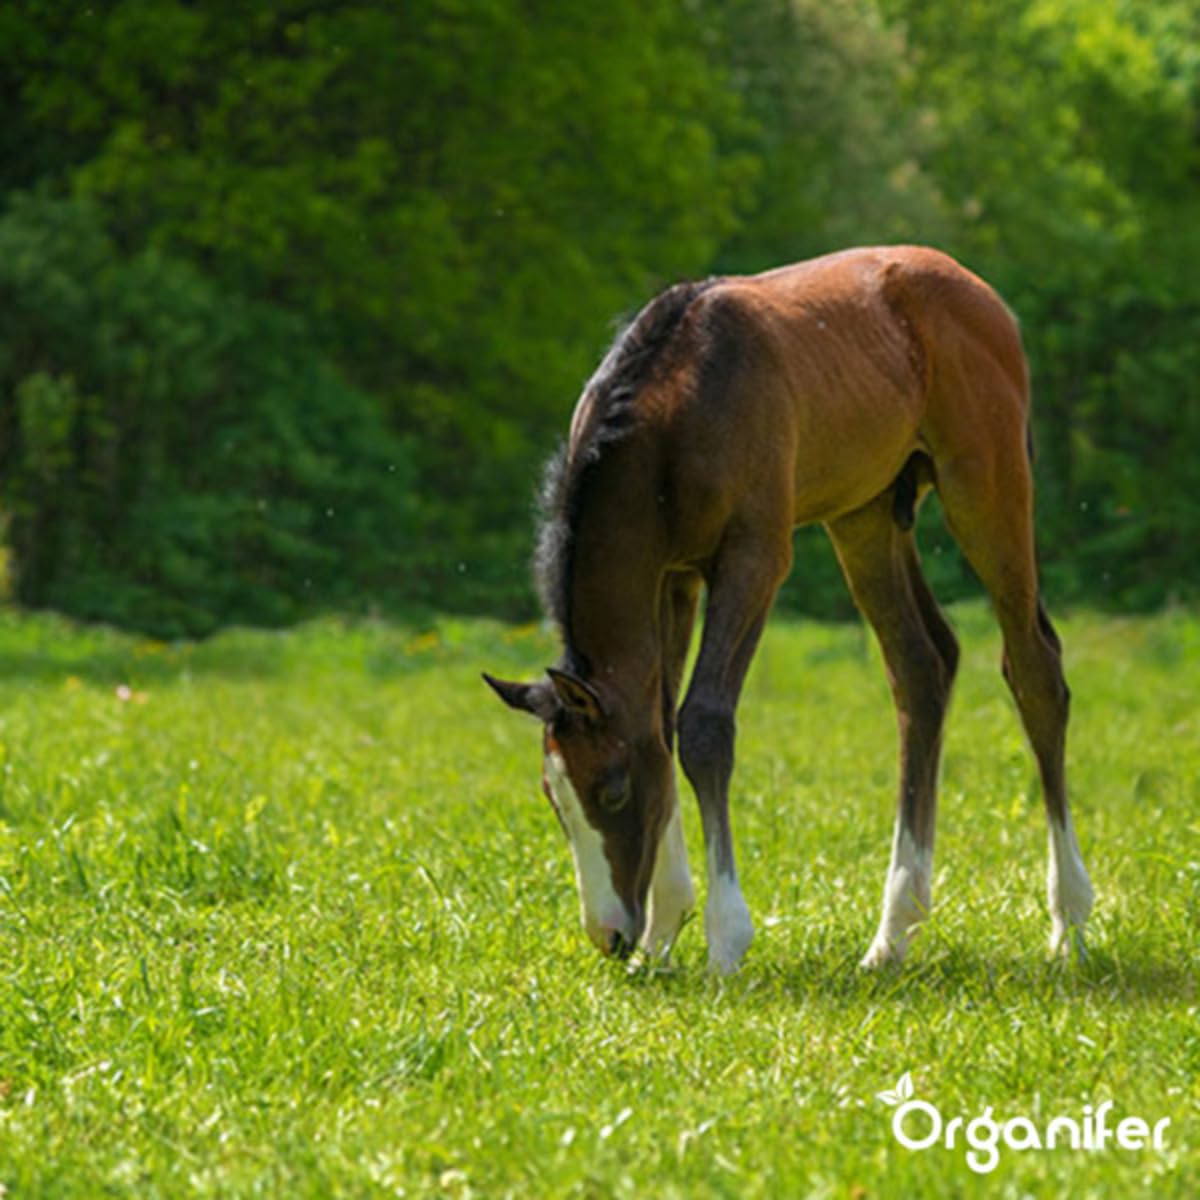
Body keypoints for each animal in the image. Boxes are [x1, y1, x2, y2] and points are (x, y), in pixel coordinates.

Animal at [484, 245, 1094, 974]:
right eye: (555, 800)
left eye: (612, 790)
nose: (610, 936)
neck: (674, 410)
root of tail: (973, 287)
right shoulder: (672, 577)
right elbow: (657, 726)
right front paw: (662, 933)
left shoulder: (754, 557)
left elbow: (703, 725)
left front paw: (724, 939)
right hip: (864, 517)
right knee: (922, 666)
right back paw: (893, 934)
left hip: (987, 487)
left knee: (1034, 669)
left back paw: (1068, 922)